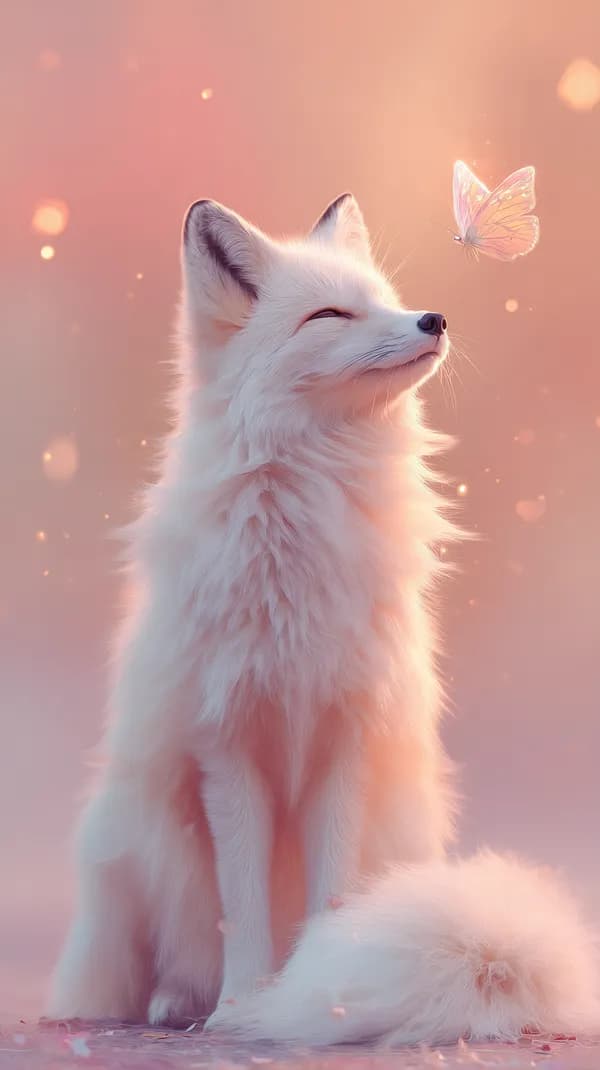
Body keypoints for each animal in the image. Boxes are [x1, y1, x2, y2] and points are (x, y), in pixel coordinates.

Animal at [48, 194, 598, 1043]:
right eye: (330, 315)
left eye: (384, 301)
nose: (433, 319)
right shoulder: (229, 746)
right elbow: (241, 910)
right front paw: (241, 1008)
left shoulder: (349, 737)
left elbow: (334, 898)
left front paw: (319, 987)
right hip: (130, 845)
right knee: (147, 959)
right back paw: (176, 1002)